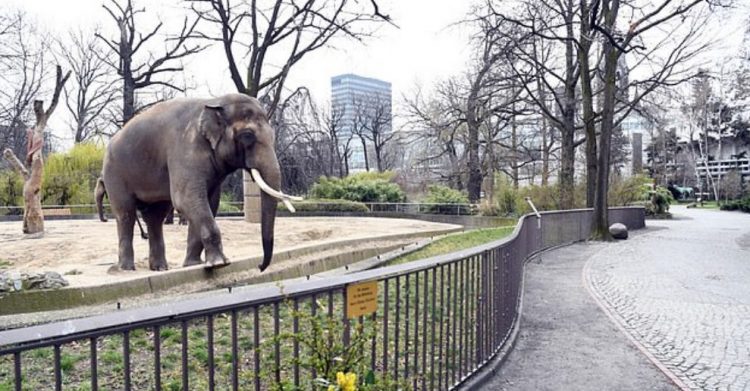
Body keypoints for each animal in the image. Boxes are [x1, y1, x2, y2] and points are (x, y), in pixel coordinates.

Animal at [95, 94, 302, 272]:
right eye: (247, 135)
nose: (260, 266)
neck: (214, 102)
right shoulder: (184, 148)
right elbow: (187, 198)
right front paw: (219, 264)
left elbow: (209, 201)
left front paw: (194, 265)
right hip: (114, 172)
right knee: (126, 213)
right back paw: (126, 269)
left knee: (155, 216)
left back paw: (160, 268)